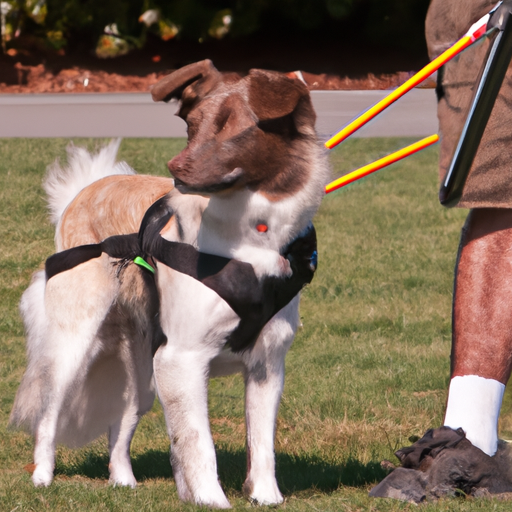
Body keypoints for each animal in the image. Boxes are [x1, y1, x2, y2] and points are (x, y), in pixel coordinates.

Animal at [10, 61, 330, 508]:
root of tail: (84, 190)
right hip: (73, 347)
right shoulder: (182, 359)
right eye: (192, 125)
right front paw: (211, 501)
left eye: (235, 128)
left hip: (144, 376)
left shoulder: (267, 364)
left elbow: (262, 444)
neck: (249, 238)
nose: (175, 168)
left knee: (120, 425)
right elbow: (198, 441)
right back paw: (42, 476)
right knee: (48, 413)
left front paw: (266, 498)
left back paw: (123, 482)